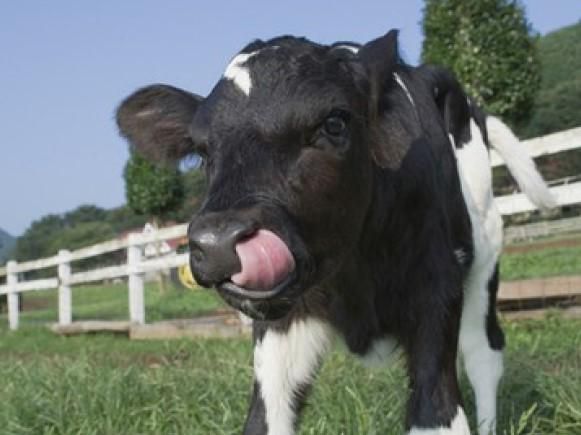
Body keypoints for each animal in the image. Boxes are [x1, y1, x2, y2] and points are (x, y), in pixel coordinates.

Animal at [116, 30, 555, 435]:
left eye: (333, 123)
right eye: (203, 151)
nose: (219, 242)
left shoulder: (435, 287)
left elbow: (435, 414)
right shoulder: (282, 322)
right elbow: (264, 419)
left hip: (484, 256)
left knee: (484, 352)